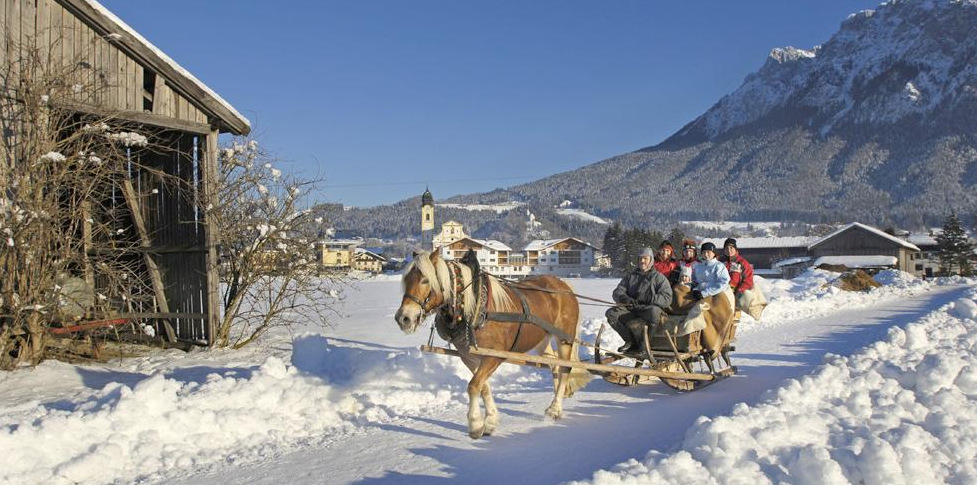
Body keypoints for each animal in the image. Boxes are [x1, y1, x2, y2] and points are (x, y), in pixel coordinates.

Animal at [394, 250, 591, 439]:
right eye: (406, 280)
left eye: (425, 280)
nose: (403, 318)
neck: (475, 307)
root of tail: (564, 286)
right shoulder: (469, 356)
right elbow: (483, 387)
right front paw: (490, 421)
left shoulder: (494, 355)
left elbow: (474, 386)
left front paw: (475, 424)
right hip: (541, 340)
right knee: (554, 365)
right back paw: (557, 402)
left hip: (564, 338)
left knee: (565, 369)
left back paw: (555, 408)